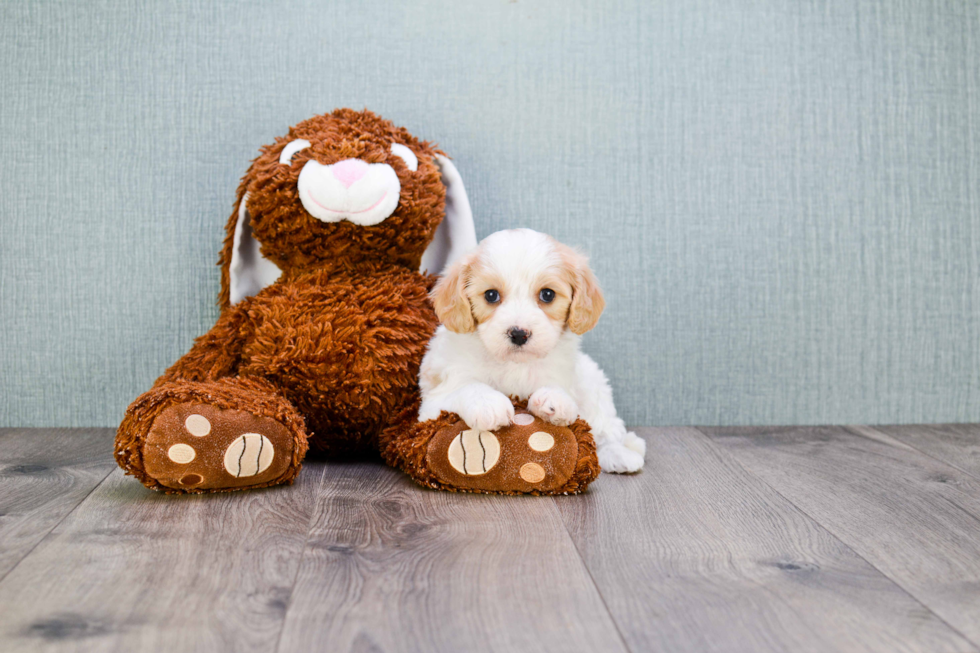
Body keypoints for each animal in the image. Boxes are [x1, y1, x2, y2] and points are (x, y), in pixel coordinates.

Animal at [418, 227, 648, 472]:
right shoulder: (432, 404)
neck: (514, 364)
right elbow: (467, 386)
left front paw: (553, 399)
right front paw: (488, 403)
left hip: (592, 381)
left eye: (547, 294)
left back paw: (620, 453)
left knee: (604, 428)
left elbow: (560, 390)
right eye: (491, 295)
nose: (519, 333)